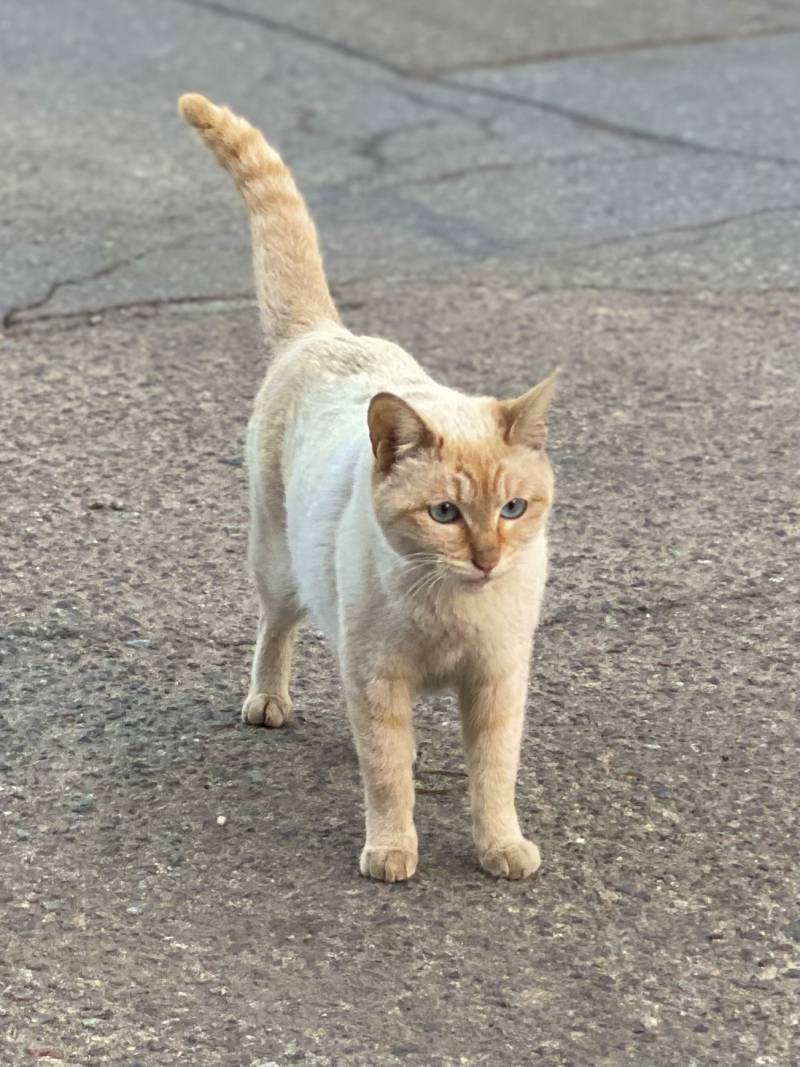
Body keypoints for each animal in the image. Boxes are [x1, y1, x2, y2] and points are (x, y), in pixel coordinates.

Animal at [179, 96, 558, 883]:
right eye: (444, 513)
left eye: (513, 508)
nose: (487, 560)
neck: (449, 608)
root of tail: (326, 332)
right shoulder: (378, 679)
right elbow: (386, 773)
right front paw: (392, 848)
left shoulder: (498, 681)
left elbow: (494, 774)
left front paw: (500, 845)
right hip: (277, 564)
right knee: (276, 629)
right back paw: (268, 699)